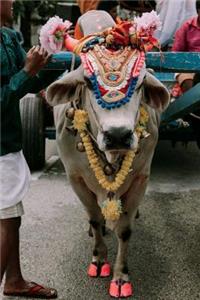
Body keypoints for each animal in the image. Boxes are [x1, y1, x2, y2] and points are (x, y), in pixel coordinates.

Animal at [40, 9, 169, 298]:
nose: (118, 135)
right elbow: (95, 218)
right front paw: (99, 259)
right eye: (88, 82)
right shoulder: (75, 178)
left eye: (140, 82)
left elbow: (125, 229)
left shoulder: (141, 178)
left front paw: (121, 277)